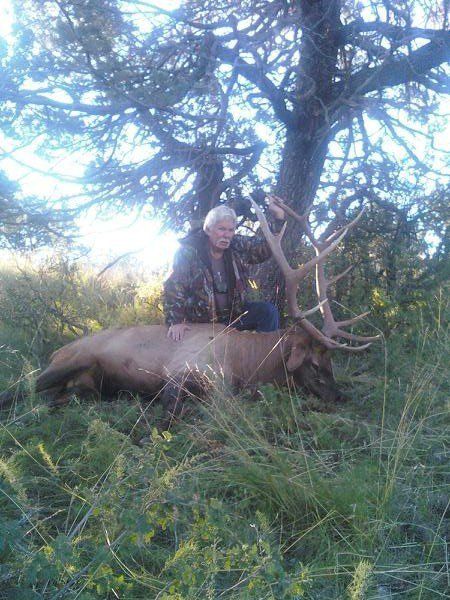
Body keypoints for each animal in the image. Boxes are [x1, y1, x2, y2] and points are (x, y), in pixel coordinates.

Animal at [8, 199, 378, 420]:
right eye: (314, 364)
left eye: (332, 364)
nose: (341, 397)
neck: (245, 361)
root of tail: (57, 350)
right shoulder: (180, 370)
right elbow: (176, 410)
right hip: (70, 360)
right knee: (19, 389)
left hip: (85, 385)